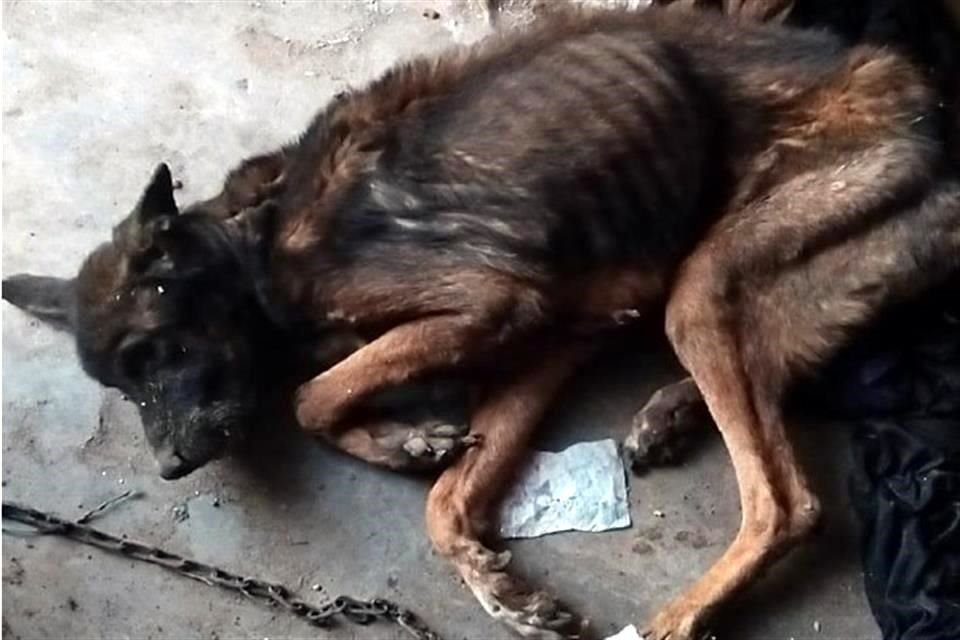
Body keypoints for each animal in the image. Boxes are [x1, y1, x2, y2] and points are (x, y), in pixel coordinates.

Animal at [5, 5, 960, 640]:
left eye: (153, 350)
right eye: (118, 383)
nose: (167, 470)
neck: (259, 242)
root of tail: (923, 102)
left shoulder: (491, 303)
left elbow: (311, 397)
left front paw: (395, 438)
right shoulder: (553, 333)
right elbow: (448, 498)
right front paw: (487, 565)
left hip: (709, 282)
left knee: (786, 502)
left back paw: (680, 611)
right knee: (774, 381)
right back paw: (668, 414)